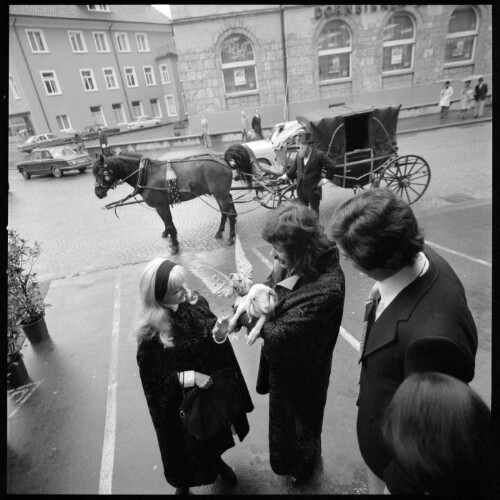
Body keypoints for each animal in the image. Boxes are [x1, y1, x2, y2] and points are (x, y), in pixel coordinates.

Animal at [93, 144, 254, 254]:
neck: (146, 174)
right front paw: (173, 239)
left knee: (229, 213)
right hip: (220, 194)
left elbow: (169, 224)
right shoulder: (163, 206)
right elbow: (168, 224)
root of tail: (223, 160)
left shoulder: (161, 206)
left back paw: (231, 237)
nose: (97, 193)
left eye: (101, 173)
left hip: (220, 194)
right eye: (94, 174)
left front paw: (175, 245)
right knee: (225, 211)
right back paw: (220, 231)